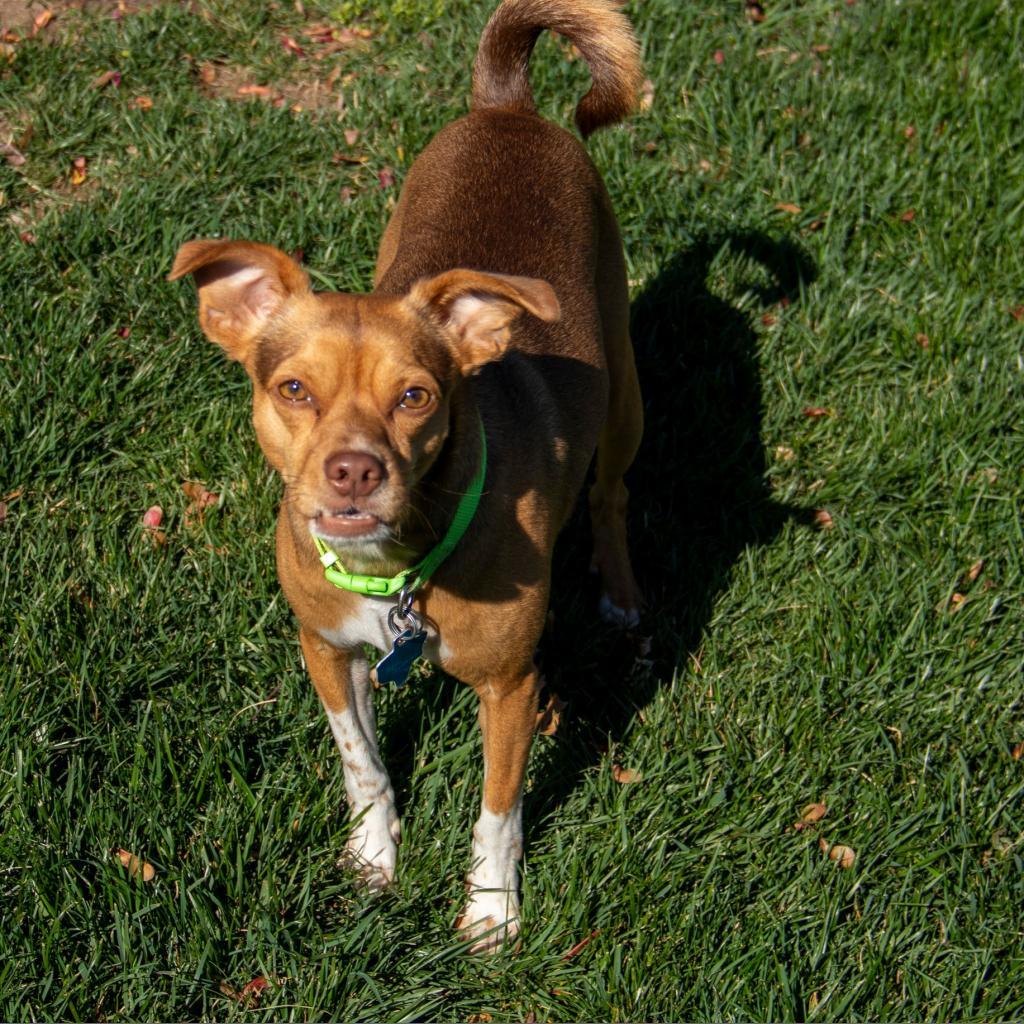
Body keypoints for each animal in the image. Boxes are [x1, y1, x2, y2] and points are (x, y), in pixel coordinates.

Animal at [172, 0, 643, 950]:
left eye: (417, 396)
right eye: (294, 390)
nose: (354, 470)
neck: (395, 572)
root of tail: (508, 106)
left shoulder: (508, 686)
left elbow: (498, 809)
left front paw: (492, 912)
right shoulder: (325, 650)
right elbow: (362, 763)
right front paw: (373, 859)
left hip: (623, 389)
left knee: (611, 495)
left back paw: (618, 593)